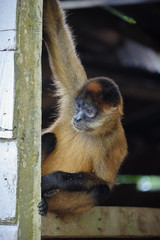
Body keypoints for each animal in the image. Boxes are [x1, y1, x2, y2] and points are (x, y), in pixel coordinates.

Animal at [38, 0, 127, 216]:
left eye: (89, 112)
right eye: (78, 107)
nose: (77, 118)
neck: (90, 131)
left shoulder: (117, 140)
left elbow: (105, 182)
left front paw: (52, 180)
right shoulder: (74, 92)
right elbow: (55, 28)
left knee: (101, 190)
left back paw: (45, 200)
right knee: (49, 137)